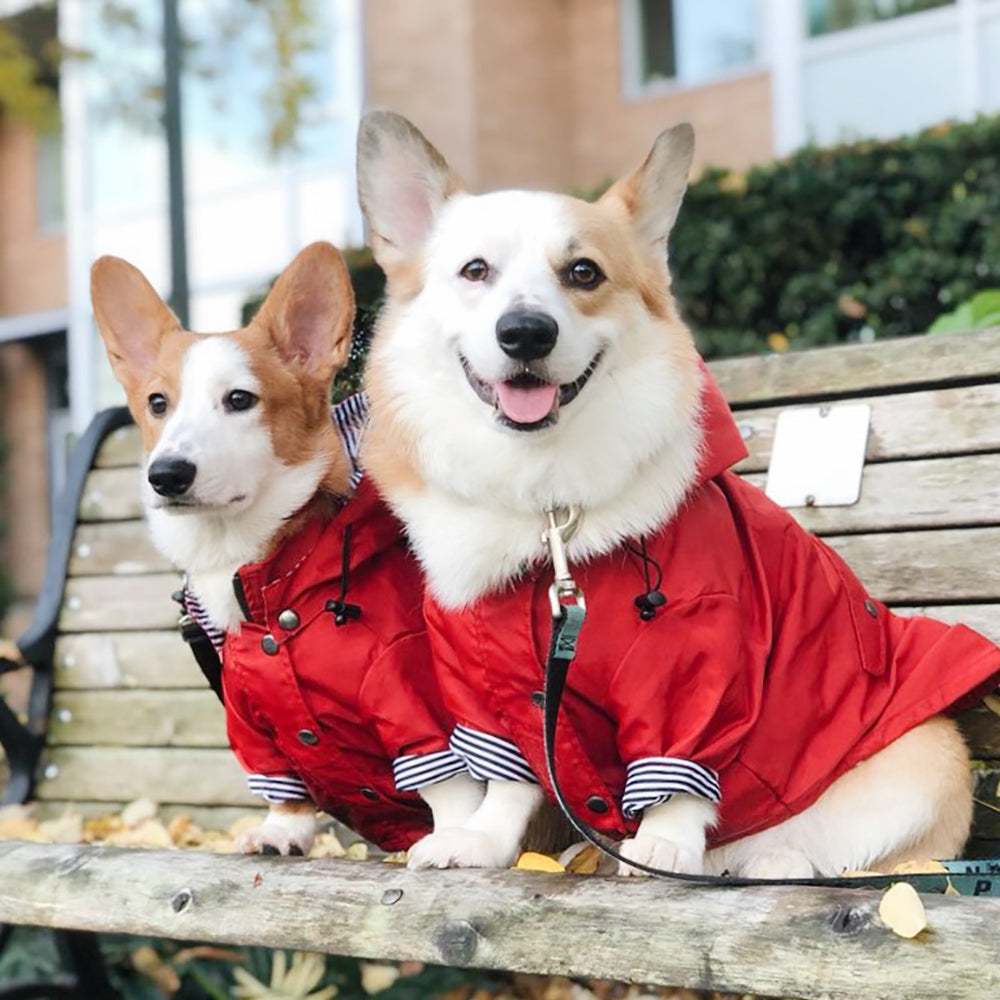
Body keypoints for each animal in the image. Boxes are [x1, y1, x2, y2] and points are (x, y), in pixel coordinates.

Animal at [92, 242, 482, 860]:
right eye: (157, 402)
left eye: (239, 399)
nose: (166, 475)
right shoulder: (251, 722)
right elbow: (284, 784)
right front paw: (281, 831)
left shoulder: (412, 694)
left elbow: (451, 783)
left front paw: (455, 842)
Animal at [354, 111, 1000, 876]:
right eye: (475, 270)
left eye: (583, 272)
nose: (526, 333)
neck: (548, 508)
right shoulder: (488, 687)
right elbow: (511, 778)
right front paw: (480, 840)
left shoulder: (694, 654)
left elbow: (679, 770)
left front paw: (664, 840)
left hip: (924, 762)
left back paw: (773, 862)